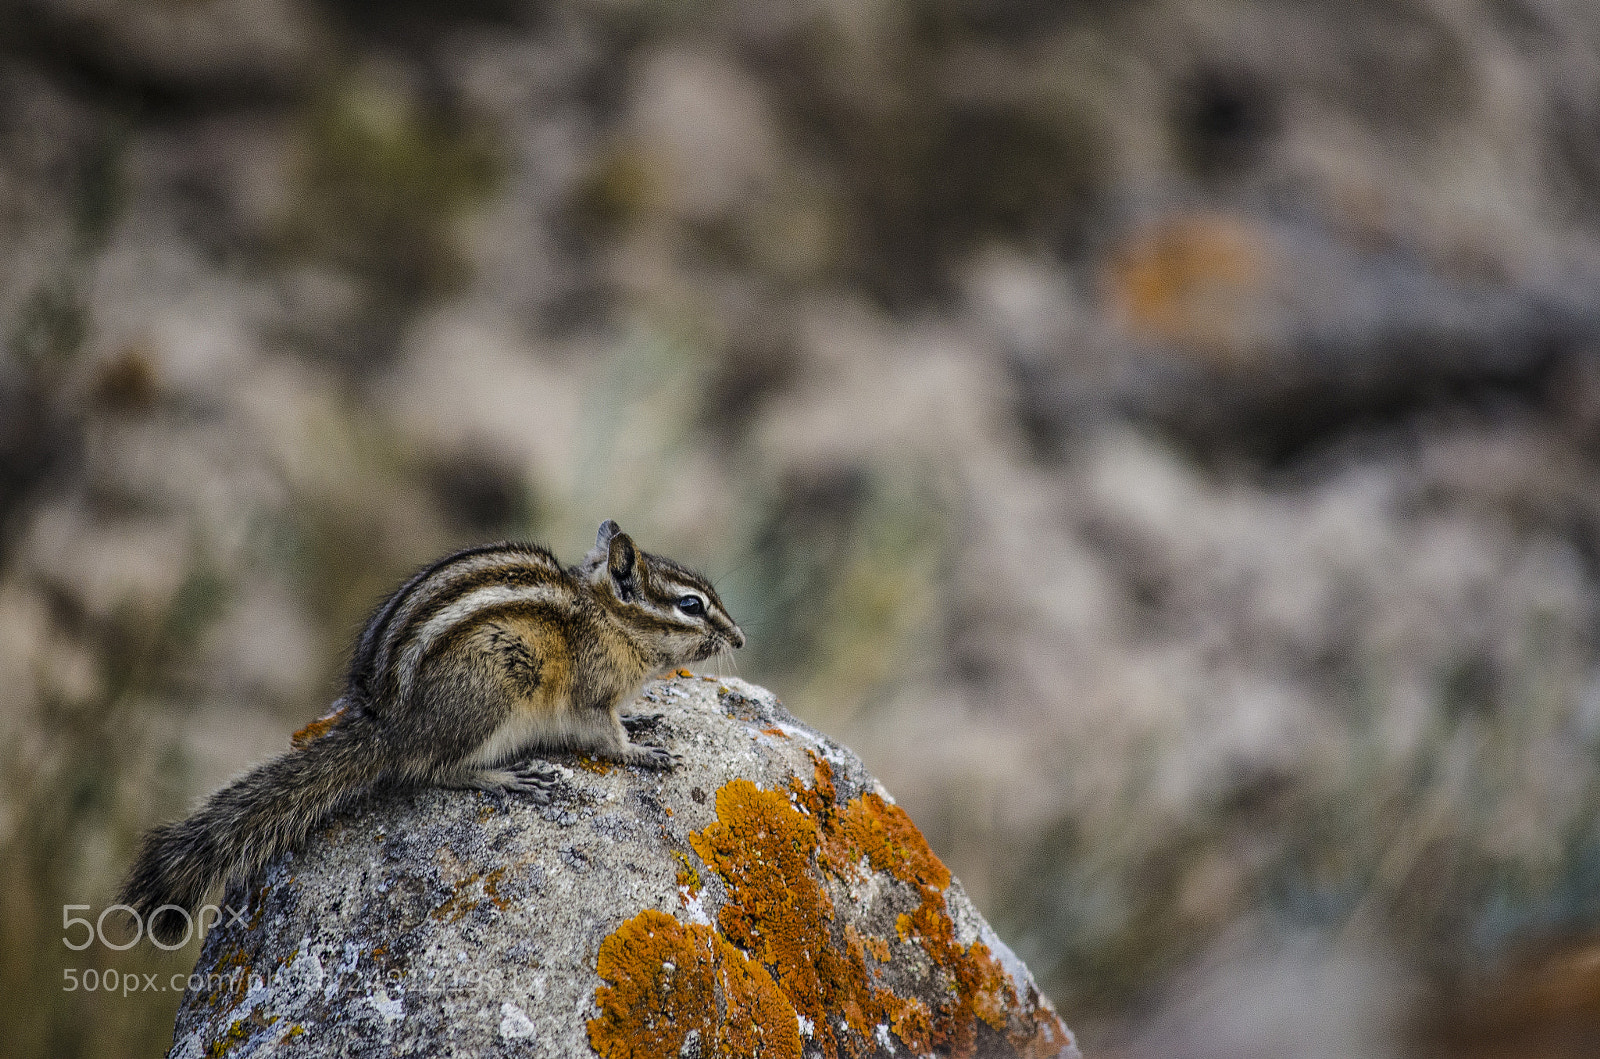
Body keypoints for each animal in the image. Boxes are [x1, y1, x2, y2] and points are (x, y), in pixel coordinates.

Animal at [119, 520, 743, 945]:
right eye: (691, 605)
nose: (739, 639)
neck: (608, 617)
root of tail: (388, 729)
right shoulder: (589, 696)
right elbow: (607, 738)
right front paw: (642, 752)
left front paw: (641, 719)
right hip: (493, 692)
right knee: (434, 768)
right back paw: (507, 778)